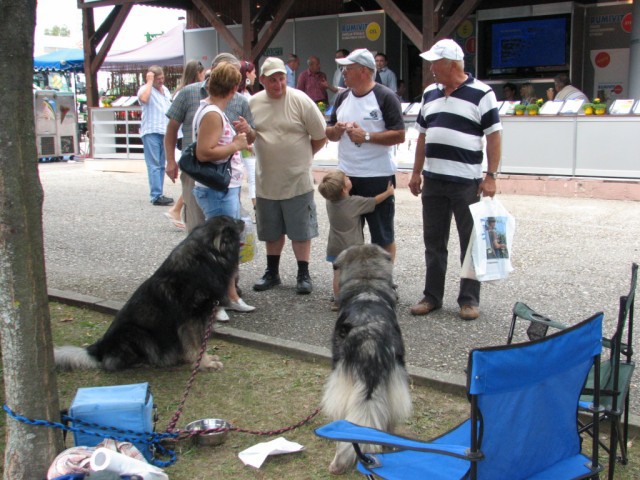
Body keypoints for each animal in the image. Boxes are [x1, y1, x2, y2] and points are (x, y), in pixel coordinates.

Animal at [54, 217, 245, 372]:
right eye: (234, 222)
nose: (243, 220)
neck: (209, 255)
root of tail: (98, 349)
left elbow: (199, 345)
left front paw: (205, 360)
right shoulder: (192, 319)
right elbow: (198, 345)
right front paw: (205, 364)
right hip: (137, 334)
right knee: (112, 364)